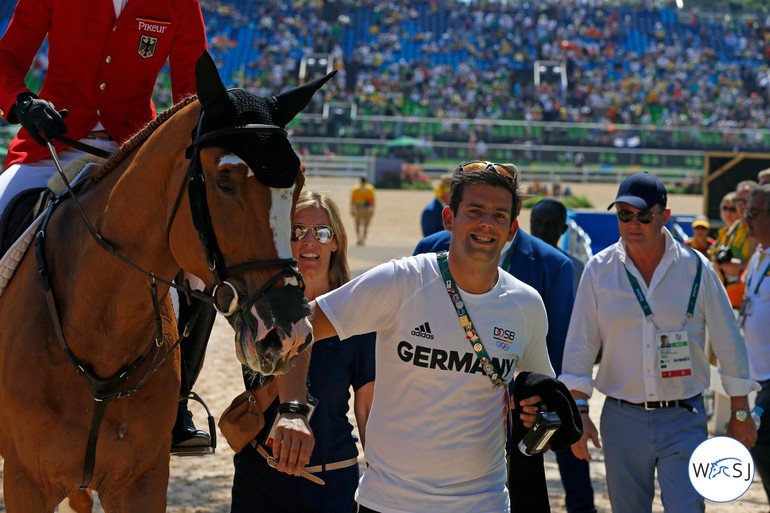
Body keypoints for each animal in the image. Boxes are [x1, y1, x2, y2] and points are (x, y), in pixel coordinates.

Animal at [0, 52, 328, 512]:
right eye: (224, 182)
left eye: (297, 181)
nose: (289, 334)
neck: (99, 331)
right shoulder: (26, 482)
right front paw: (37, 113)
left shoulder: (141, 482)